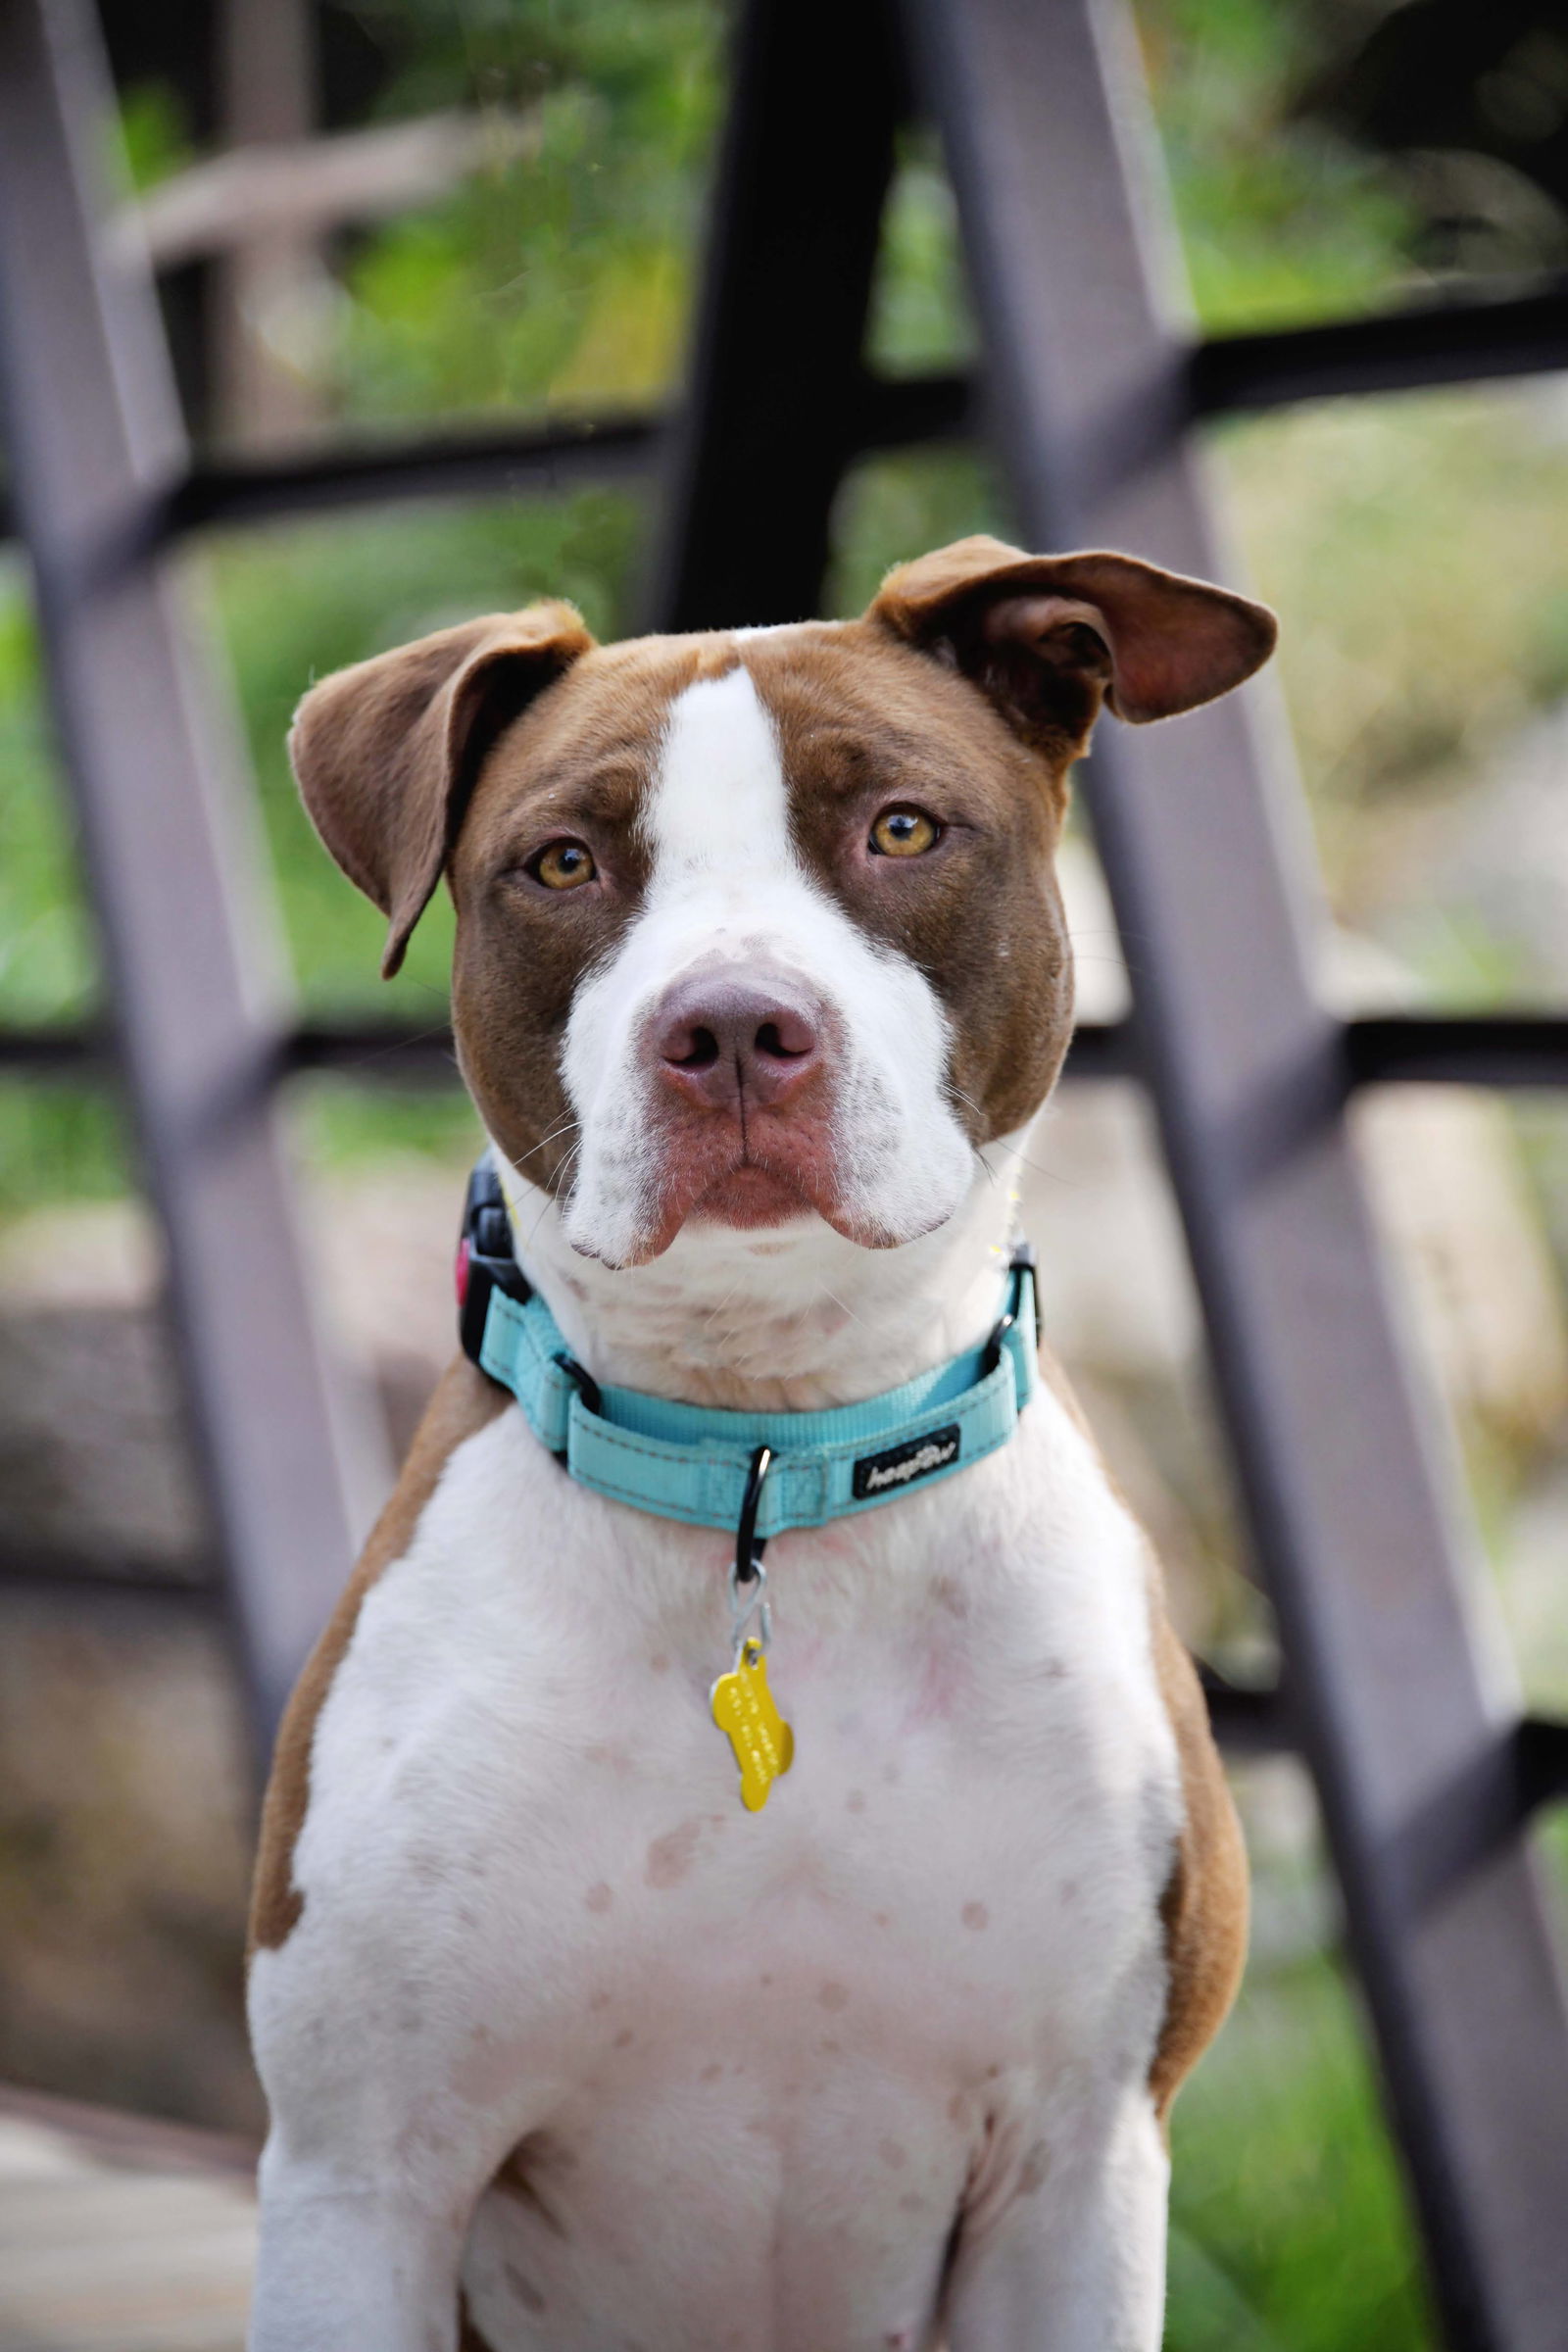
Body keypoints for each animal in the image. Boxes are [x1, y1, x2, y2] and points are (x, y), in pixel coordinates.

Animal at [248, 538, 1278, 2352]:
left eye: (904, 831)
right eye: (564, 862)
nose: (731, 1026)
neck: (768, 1461)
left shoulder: (1074, 2174)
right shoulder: (356, 2178)